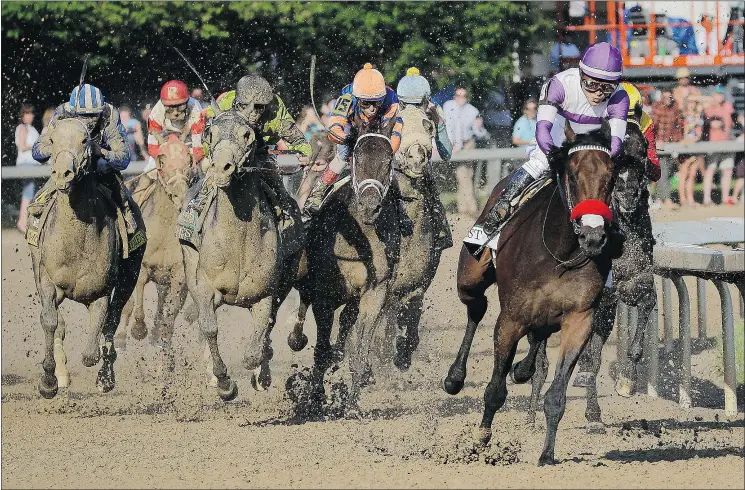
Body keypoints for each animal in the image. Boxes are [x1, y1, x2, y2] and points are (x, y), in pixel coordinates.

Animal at [28, 118, 144, 398]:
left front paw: (102, 373)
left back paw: (106, 378)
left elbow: (93, 348)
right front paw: (49, 380)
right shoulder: (47, 280)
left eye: (84, 140)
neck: (75, 243)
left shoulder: (101, 290)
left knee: (113, 320)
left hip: (130, 275)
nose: (63, 174)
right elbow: (50, 321)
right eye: (52, 140)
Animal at [117, 134, 195, 354]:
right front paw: (138, 329)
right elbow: (137, 301)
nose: (179, 195)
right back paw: (121, 337)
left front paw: (163, 336)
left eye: (189, 160)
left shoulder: (178, 271)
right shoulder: (141, 267)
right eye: (161, 160)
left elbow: (171, 308)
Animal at [444, 124, 620, 466]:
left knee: (537, 336)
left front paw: (547, 454)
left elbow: (557, 395)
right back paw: (455, 377)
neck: (559, 253)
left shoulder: (580, 319)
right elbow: (495, 389)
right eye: (573, 174)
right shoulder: (510, 318)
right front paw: (481, 439)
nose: (593, 237)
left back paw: (522, 369)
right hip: (469, 278)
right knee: (476, 308)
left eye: (611, 176)